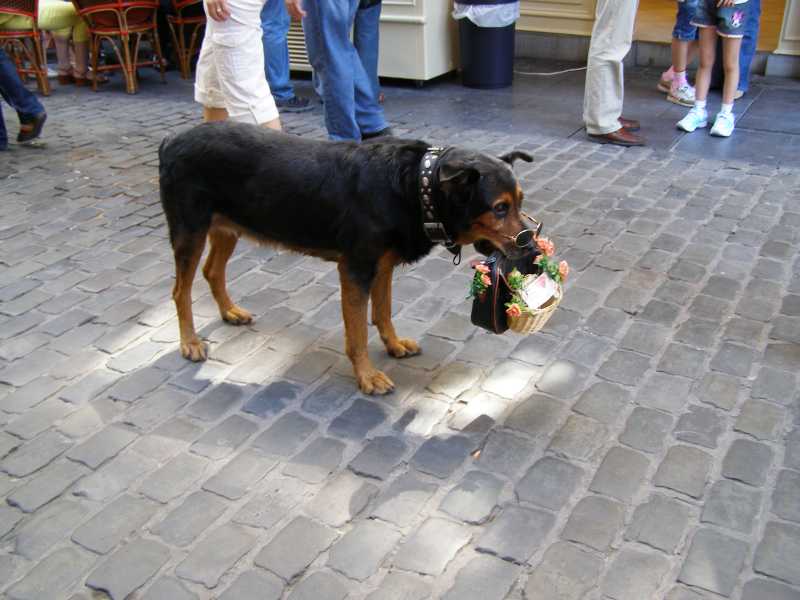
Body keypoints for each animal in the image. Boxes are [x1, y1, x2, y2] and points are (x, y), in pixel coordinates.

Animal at [159, 121, 533, 395]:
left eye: (520, 201)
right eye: (499, 208)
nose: (532, 245)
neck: (415, 186)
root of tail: (171, 140)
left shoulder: (383, 264)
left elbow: (383, 312)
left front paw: (394, 344)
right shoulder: (355, 268)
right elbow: (357, 334)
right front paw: (367, 376)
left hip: (227, 227)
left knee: (212, 271)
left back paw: (229, 312)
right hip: (190, 230)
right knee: (180, 291)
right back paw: (190, 342)